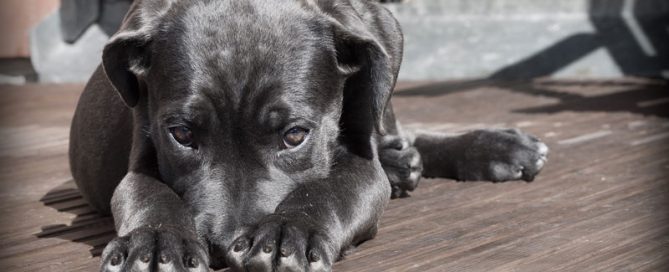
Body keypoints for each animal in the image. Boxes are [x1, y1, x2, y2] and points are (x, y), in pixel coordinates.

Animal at [69, 1, 548, 270]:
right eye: (182, 134)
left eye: (295, 135)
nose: (223, 247)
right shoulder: (143, 150)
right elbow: (147, 193)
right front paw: (156, 242)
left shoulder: (359, 160)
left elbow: (332, 189)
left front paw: (287, 232)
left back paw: (495, 147)